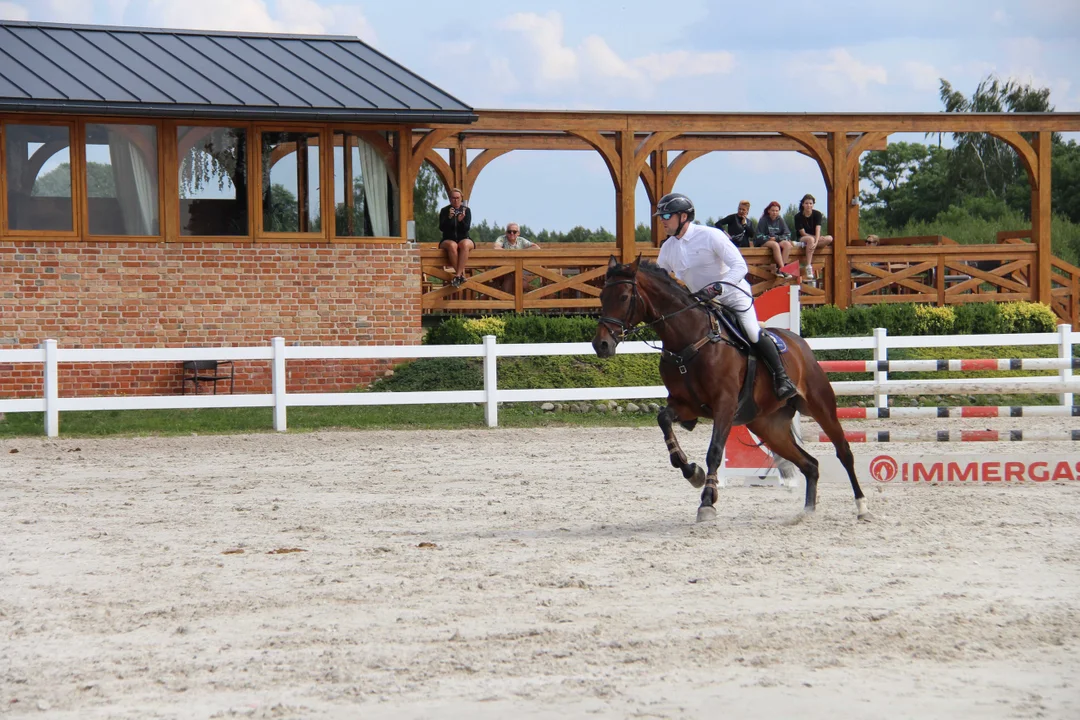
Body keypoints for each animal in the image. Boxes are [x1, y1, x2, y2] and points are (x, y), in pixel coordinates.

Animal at [591, 257, 868, 524]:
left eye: (624, 297)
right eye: (602, 296)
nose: (600, 344)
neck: (689, 341)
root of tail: (799, 343)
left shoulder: (724, 404)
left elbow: (714, 451)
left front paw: (707, 501)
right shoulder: (685, 405)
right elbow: (664, 420)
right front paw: (692, 472)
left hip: (820, 407)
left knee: (844, 452)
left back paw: (862, 507)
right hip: (769, 427)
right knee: (810, 464)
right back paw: (807, 511)